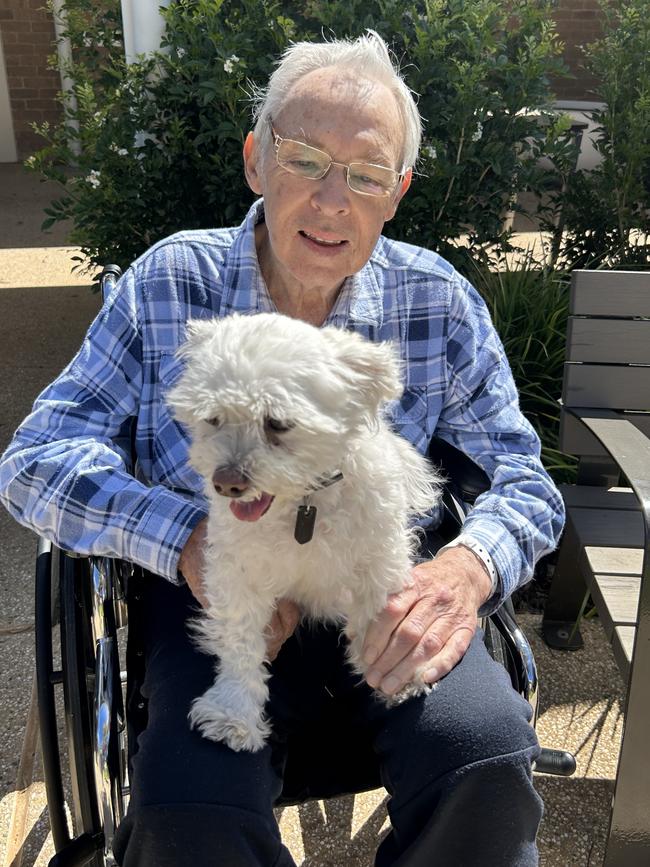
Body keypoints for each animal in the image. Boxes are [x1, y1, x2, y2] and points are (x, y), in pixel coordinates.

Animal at [165, 312, 442, 752]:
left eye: (278, 423)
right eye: (213, 419)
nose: (227, 482)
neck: (303, 502)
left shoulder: (377, 560)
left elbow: (378, 620)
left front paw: (398, 676)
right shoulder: (238, 573)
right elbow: (241, 642)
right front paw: (233, 714)